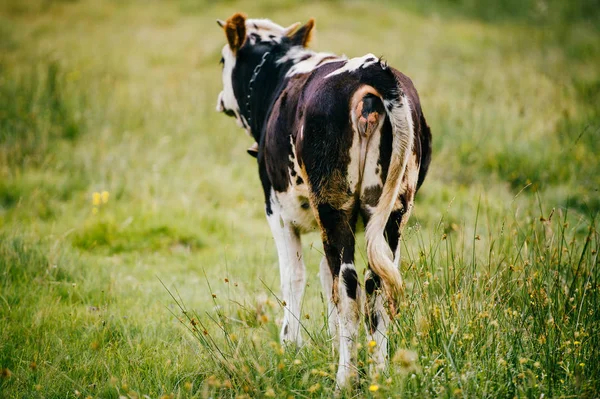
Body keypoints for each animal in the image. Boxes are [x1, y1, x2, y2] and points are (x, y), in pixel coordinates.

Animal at [216, 14, 432, 390]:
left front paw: (290, 346)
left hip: (334, 207)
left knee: (350, 290)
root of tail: (371, 69)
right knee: (376, 288)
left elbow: (294, 276)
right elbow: (323, 277)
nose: (220, 100)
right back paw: (377, 375)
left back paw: (344, 380)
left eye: (220, 61)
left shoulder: (278, 212)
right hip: (392, 213)